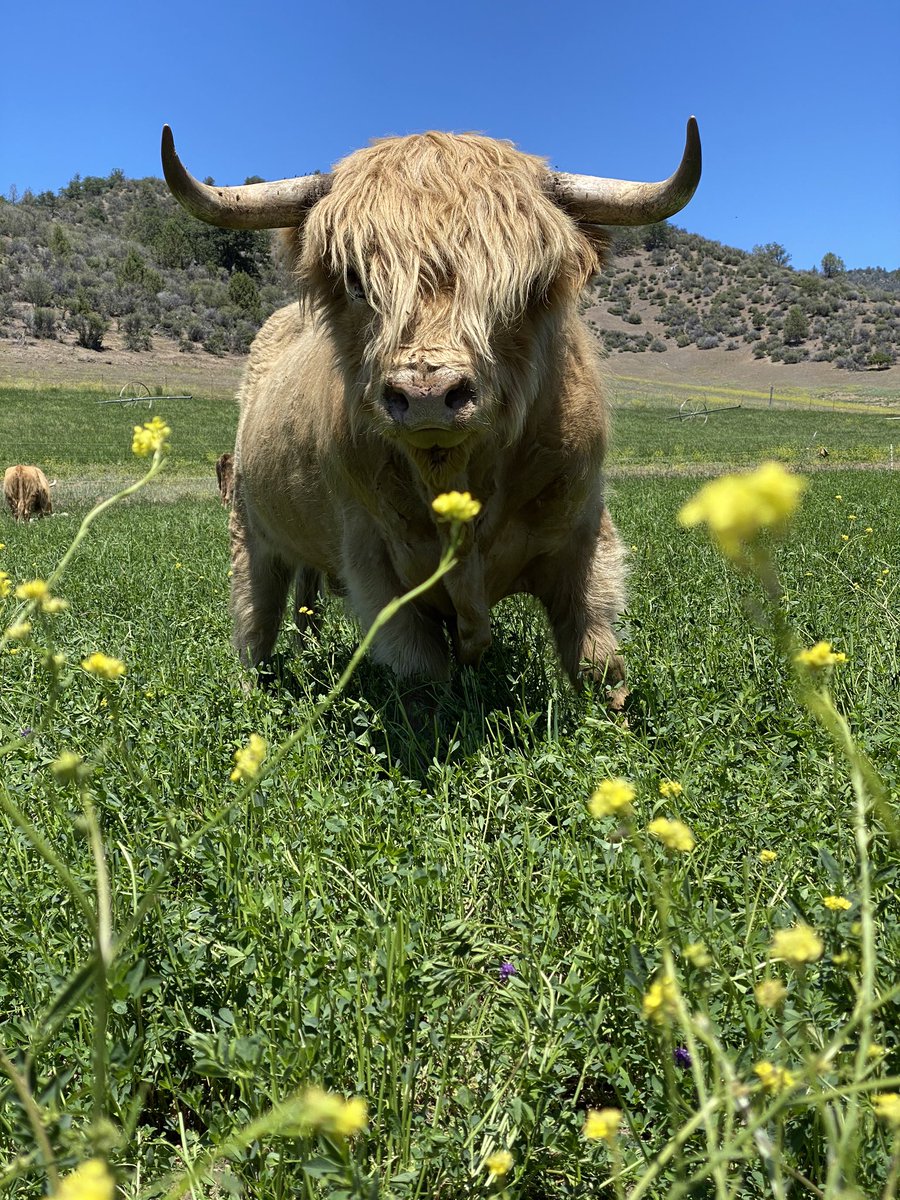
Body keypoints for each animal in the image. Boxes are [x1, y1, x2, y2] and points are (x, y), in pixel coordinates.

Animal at [161, 120, 701, 703]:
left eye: (526, 287)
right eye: (356, 282)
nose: (426, 394)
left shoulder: (583, 539)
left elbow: (598, 661)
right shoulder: (374, 564)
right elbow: (425, 681)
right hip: (250, 530)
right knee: (256, 617)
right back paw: (253, 689)